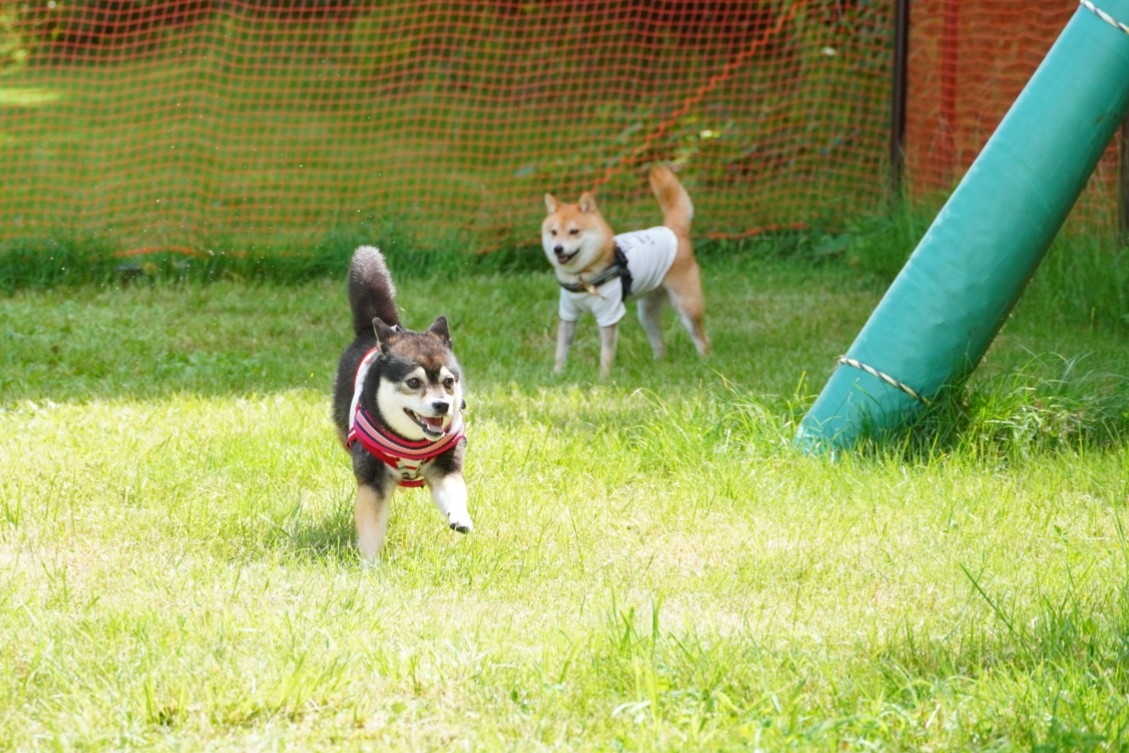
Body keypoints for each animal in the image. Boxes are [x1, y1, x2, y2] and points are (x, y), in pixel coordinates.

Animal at [329, 244, 469, 562]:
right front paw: (370, 563)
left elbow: (455, 491)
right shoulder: (373, 481)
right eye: (414, 382)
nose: (442, 405)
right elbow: (371, 527)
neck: (411, 442)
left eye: (449, 382)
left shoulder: (445, 468)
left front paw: (460, 516)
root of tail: (377, 329)